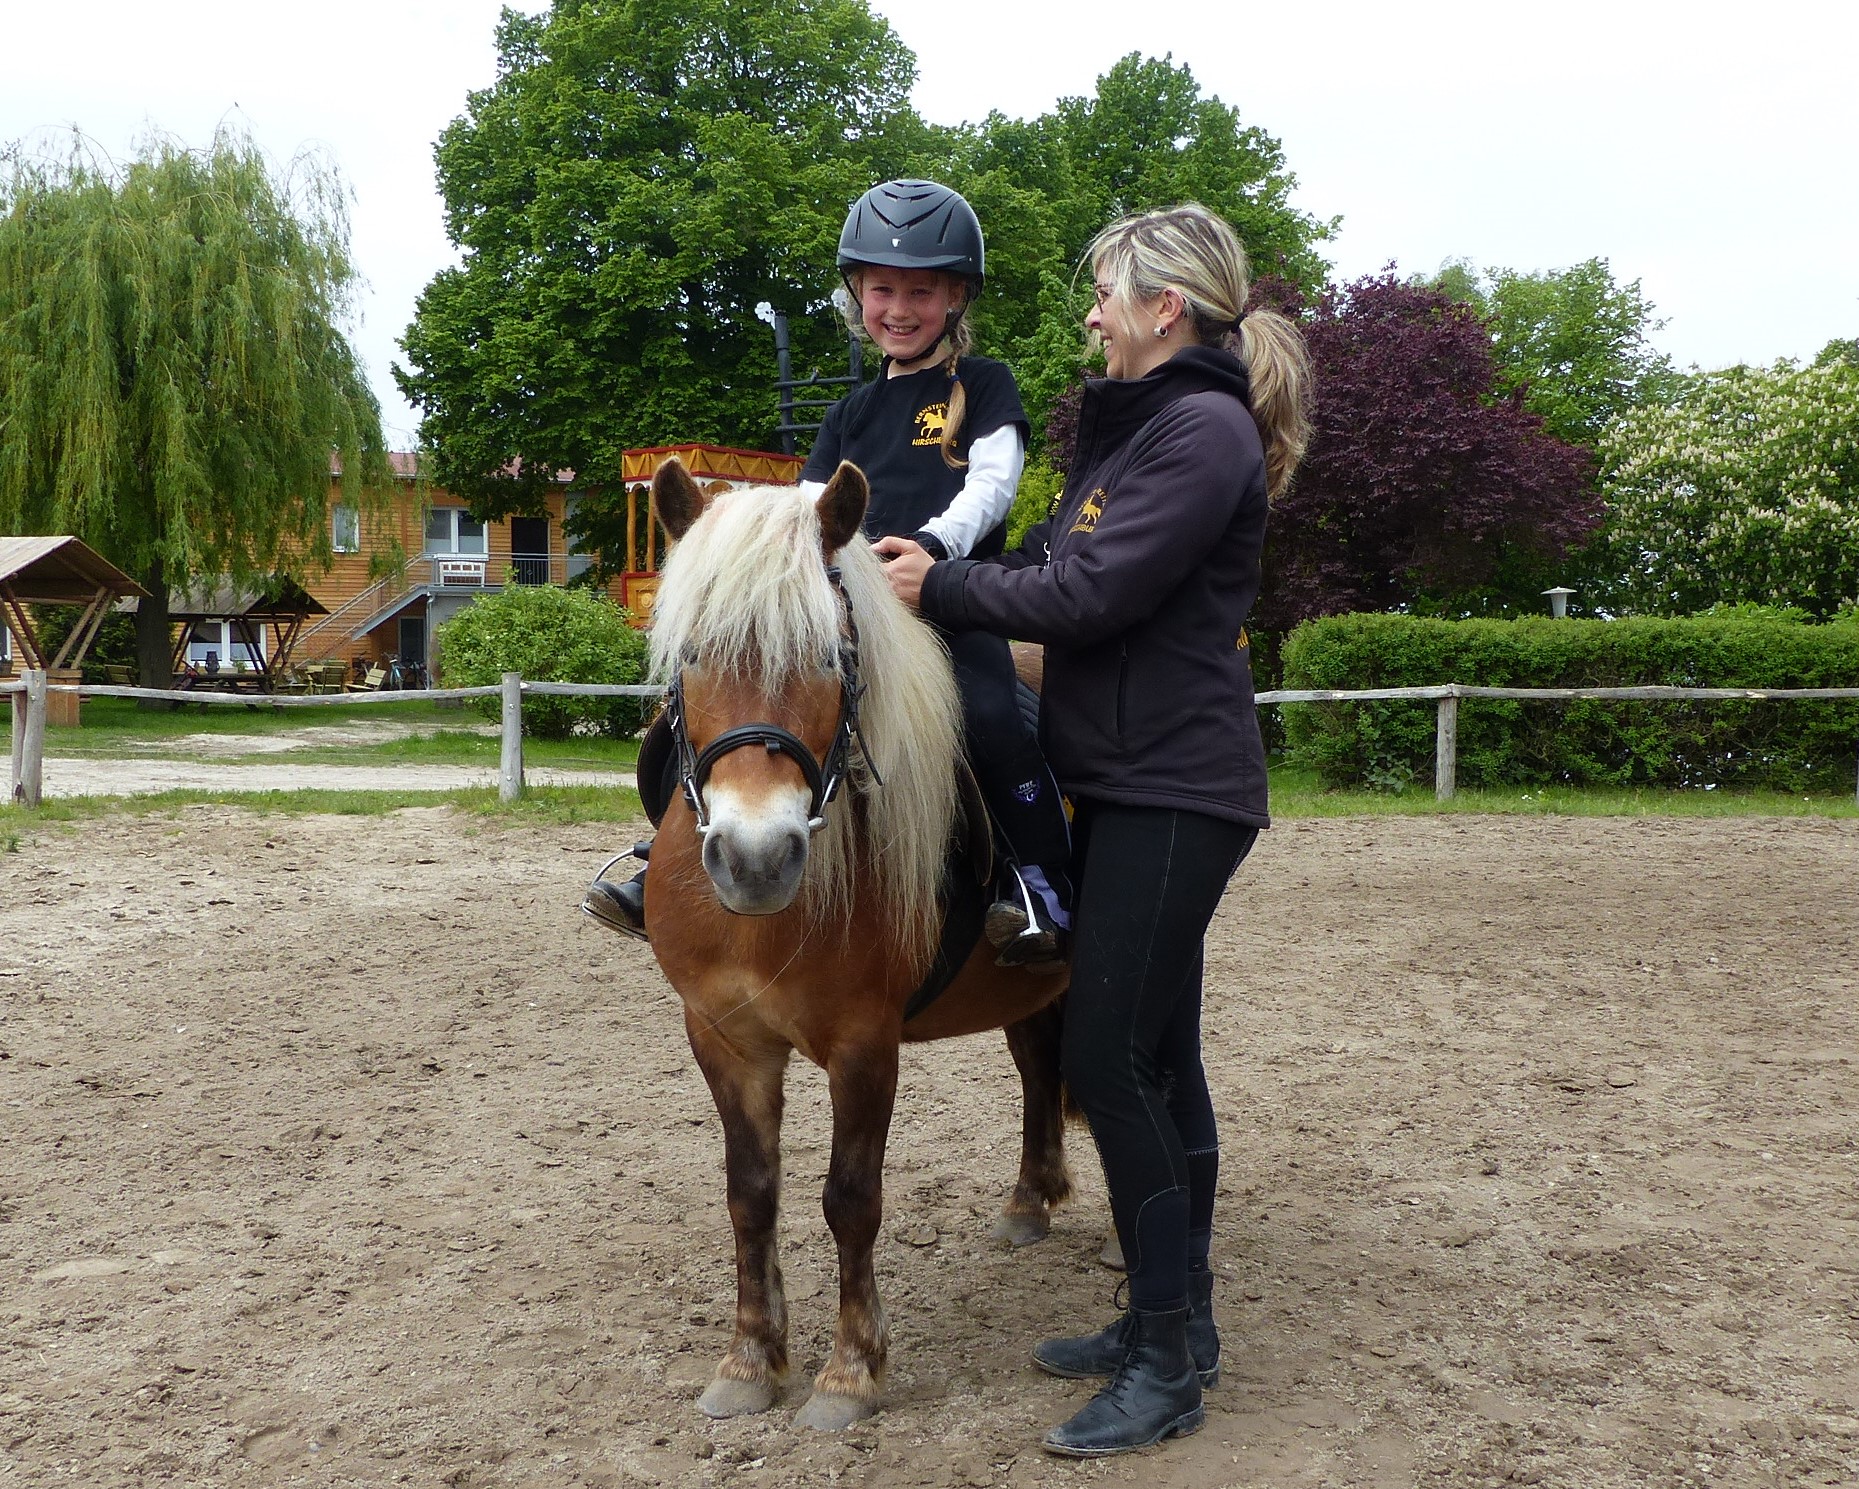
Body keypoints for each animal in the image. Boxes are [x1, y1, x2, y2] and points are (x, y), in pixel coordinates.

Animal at [639, 456, 1073, 1431]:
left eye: (831, 656)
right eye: (691, 654)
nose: (755, 856)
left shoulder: (865, 1044)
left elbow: (850, 1197)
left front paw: (850, 1369)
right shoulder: (722, 1037)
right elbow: (749, 1193)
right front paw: (750, 1359)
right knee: (1037, 1062)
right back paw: (1030, 1198)